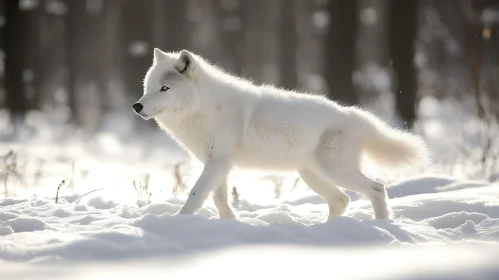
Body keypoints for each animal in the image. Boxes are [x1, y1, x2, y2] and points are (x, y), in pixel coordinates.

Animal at [133, 48, 430, 221]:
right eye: (147, 87)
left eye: (164, 89)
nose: (137, 106)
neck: (205, 108)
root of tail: (352, 114)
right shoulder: (218, 165)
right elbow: (220, 200)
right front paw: (229, 224)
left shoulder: (216, 163)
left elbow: (195, 195)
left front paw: (179, 222)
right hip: (312, 175)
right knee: (342, 200)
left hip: (335, 171)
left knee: (377, 189)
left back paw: (380, 226)